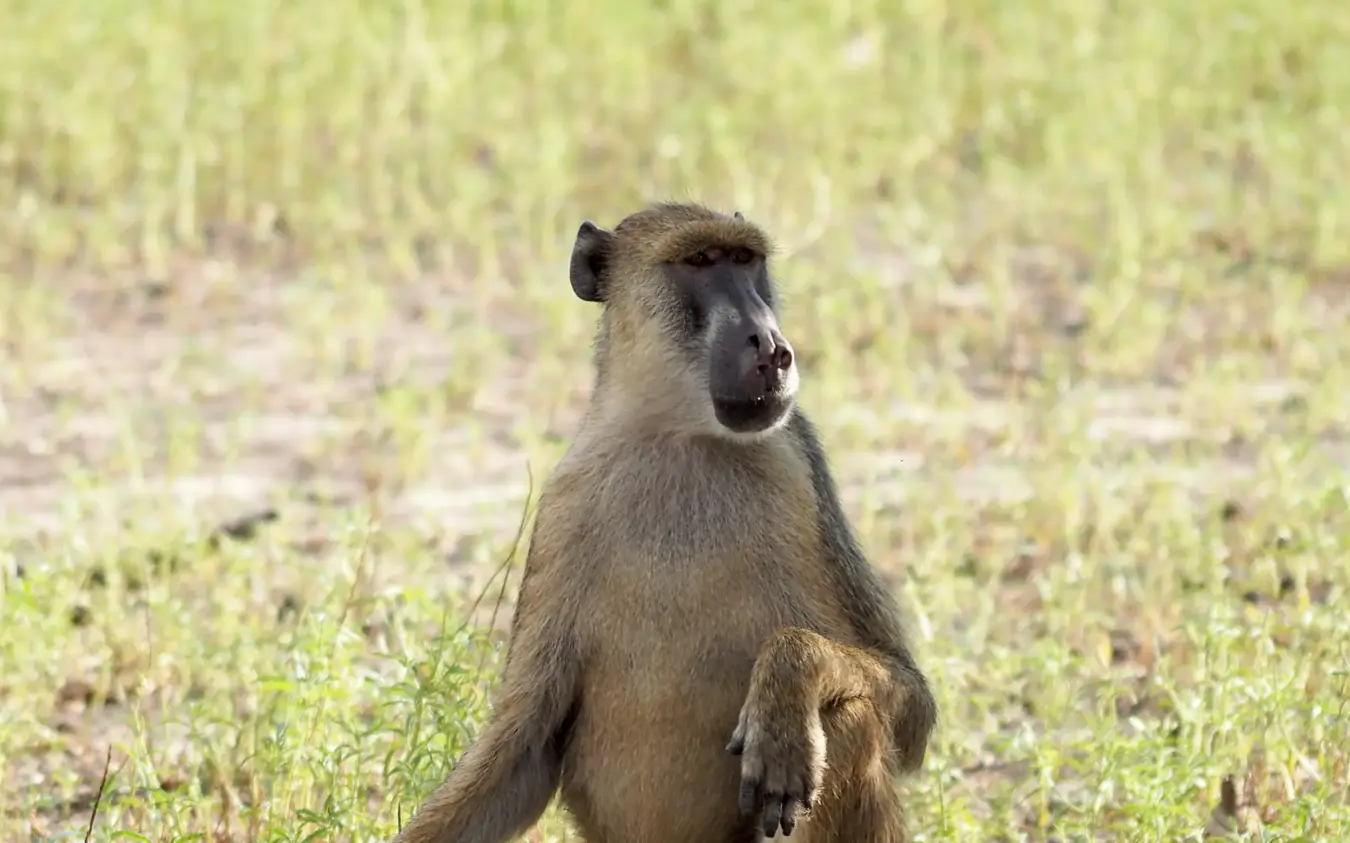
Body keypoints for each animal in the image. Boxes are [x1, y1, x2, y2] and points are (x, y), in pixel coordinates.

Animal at [388, 202, 936, 843]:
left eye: (746, 260)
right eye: (700, 262)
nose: (771, 347)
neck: (681, 435)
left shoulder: (802, 474)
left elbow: (911, 703)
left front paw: (787, 685)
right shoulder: (564, 506)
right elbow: (521, 748)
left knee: (847, 720)